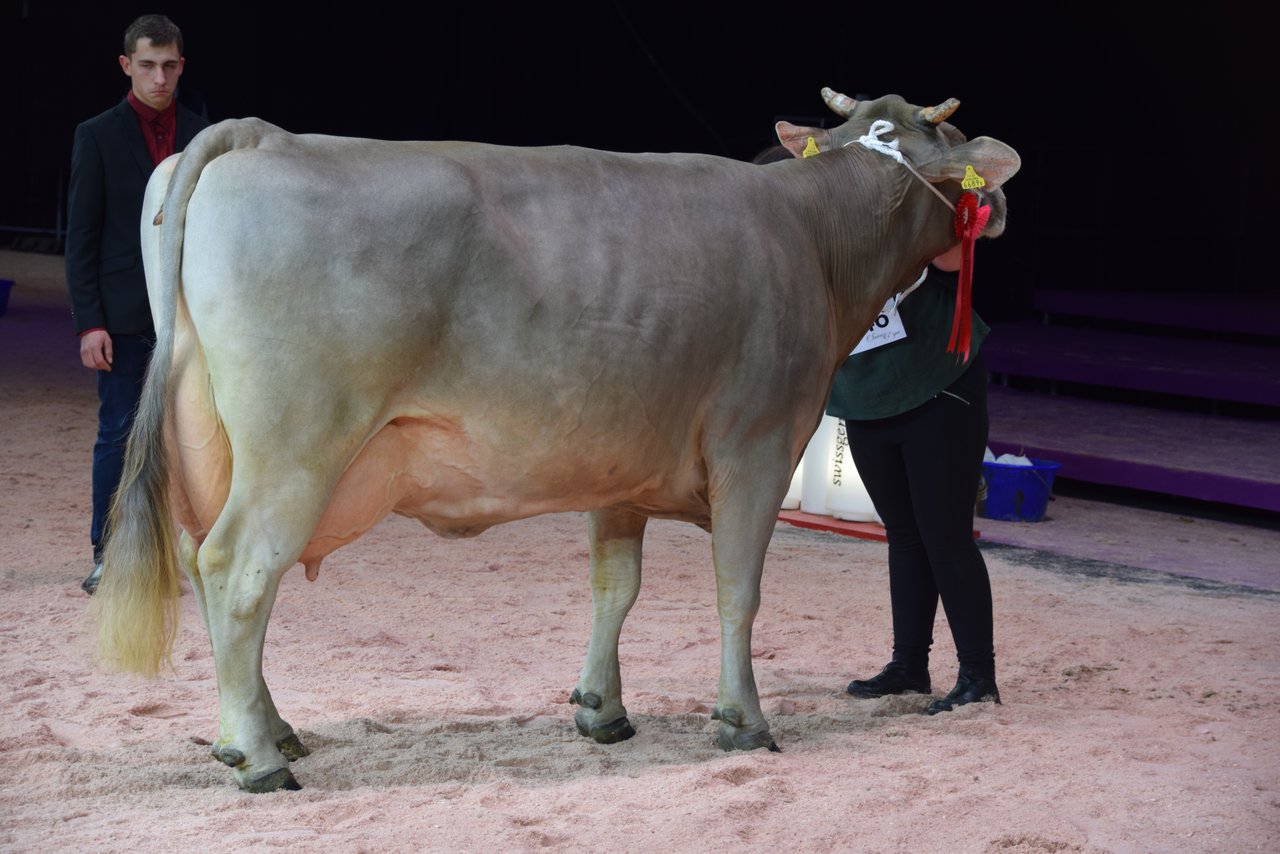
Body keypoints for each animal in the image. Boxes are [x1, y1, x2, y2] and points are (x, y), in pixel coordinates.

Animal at [92, 90, 1018, 793]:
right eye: (949, 141)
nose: (997, 206)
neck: (813, 233)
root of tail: (260, 133)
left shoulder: (620, 470)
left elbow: (615, 589)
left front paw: (601, 709)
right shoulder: (757, 448)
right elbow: (738, 592)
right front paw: (743, 719)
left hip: (215, 451)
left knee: (209, 572)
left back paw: (268, 729)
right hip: (296, 450)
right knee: (237, 573)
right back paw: (256, 757)